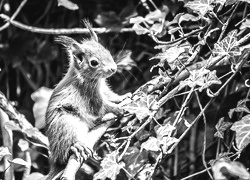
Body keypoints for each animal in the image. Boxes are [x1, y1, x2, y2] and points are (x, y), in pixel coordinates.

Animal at [45, 20, 127, 179]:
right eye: (94, 62)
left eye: (107, 52)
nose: (113, 69)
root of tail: (54, 161)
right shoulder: (89, 96)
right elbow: (102, 106)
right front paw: (116, 108)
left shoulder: (103, 89)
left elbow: (110, 95)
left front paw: (122, 97)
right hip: (66, 124)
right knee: (67, 148)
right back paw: (77, 146)